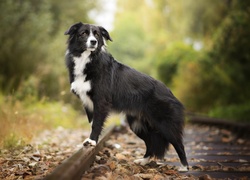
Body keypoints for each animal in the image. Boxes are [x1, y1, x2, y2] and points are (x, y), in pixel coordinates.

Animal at [65, 21, 189, 171]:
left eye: (97, 34)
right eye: (83, 33)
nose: (94, 42)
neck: (87, 59)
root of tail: (169, 92)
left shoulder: (101, 101)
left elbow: (96, 124)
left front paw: (92, 141)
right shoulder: (87, 102)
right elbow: (92, 122)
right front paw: (91, 142)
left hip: (164, 124)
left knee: (178, 143)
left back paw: (184, 167)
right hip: (137, 124)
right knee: (151, 142)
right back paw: (143, 161)